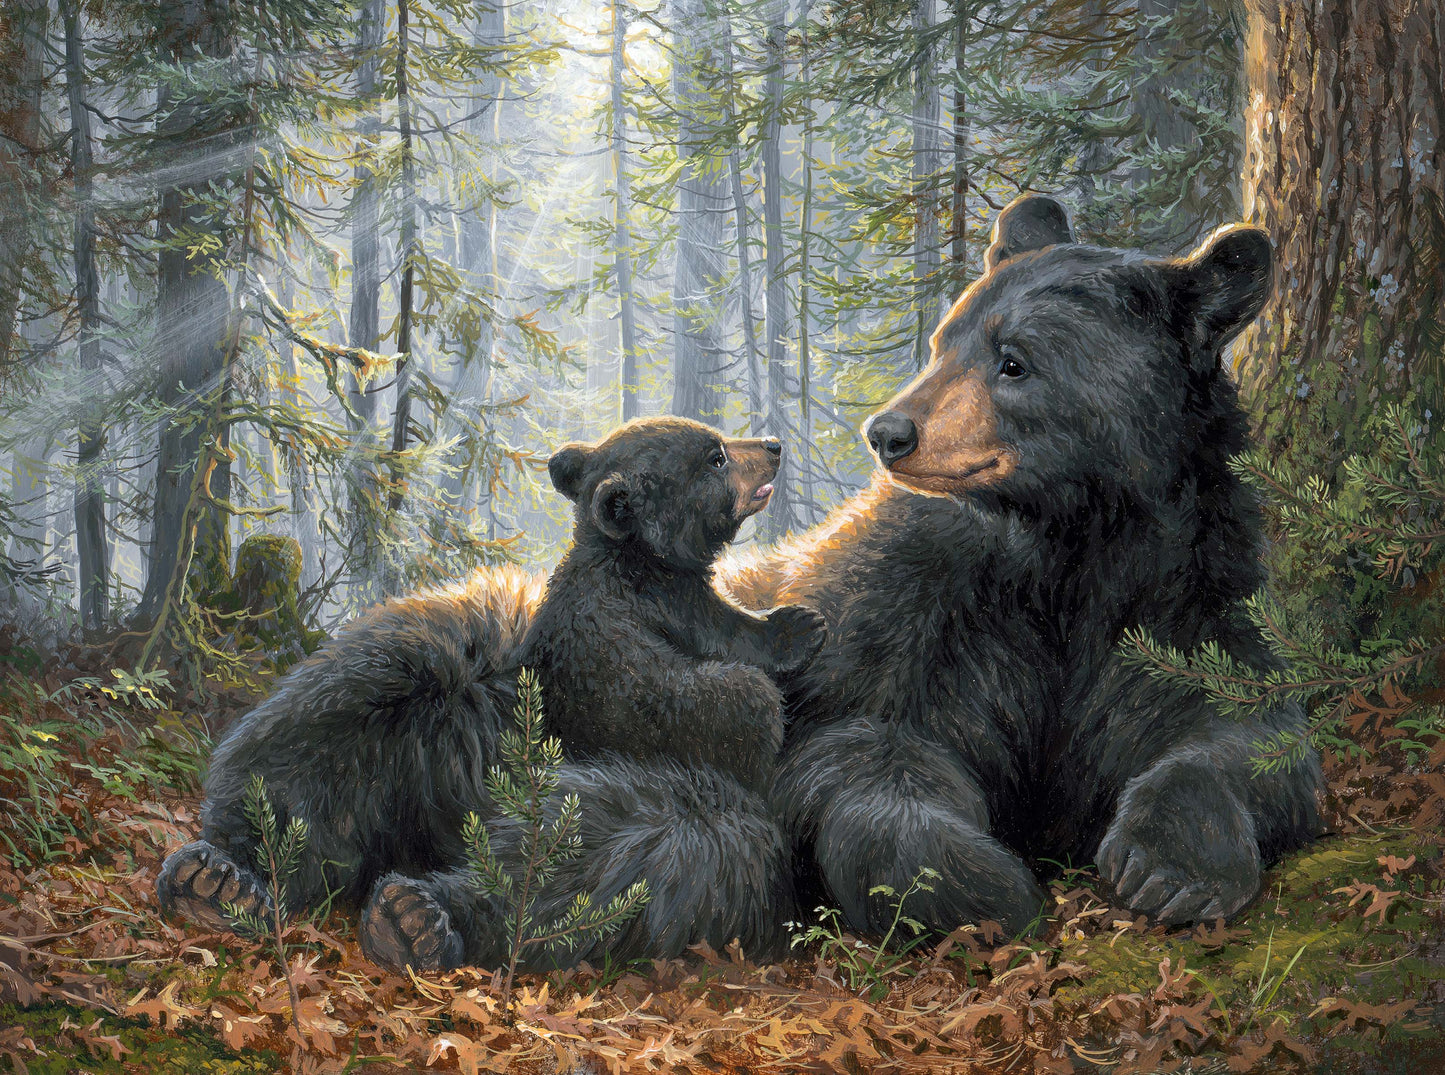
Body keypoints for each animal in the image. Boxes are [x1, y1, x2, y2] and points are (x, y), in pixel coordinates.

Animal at [157, 421, 818, 973]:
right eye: (716, 455)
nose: (774, 445)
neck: (628, 560)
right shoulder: (665, 615)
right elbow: (729, 662)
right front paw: (796, 628)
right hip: (386, 693)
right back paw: (236, 880)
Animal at [719, 194, 1323, 936]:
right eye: (943, 344)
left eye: (1014, 363)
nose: (887, 432)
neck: (1067, 541)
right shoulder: (916, 616)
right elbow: (863, 746)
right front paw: (979, 884)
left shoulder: (1182, 593)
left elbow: (1243, 730)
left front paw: (1169, 868)